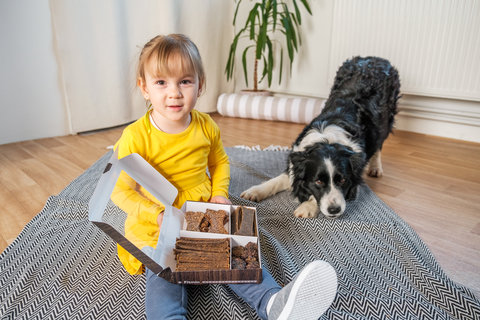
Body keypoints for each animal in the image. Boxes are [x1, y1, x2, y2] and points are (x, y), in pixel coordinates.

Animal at [240, 56, 402, 219]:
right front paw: (255, 191)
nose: (334, 210)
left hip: (386, 119)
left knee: (379, 144)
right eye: (318, 181)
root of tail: (376, 58)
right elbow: (277, 180)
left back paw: (376, 167)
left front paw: (307, 207)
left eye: (343, 180)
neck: (327, 140)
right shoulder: (296, 163)